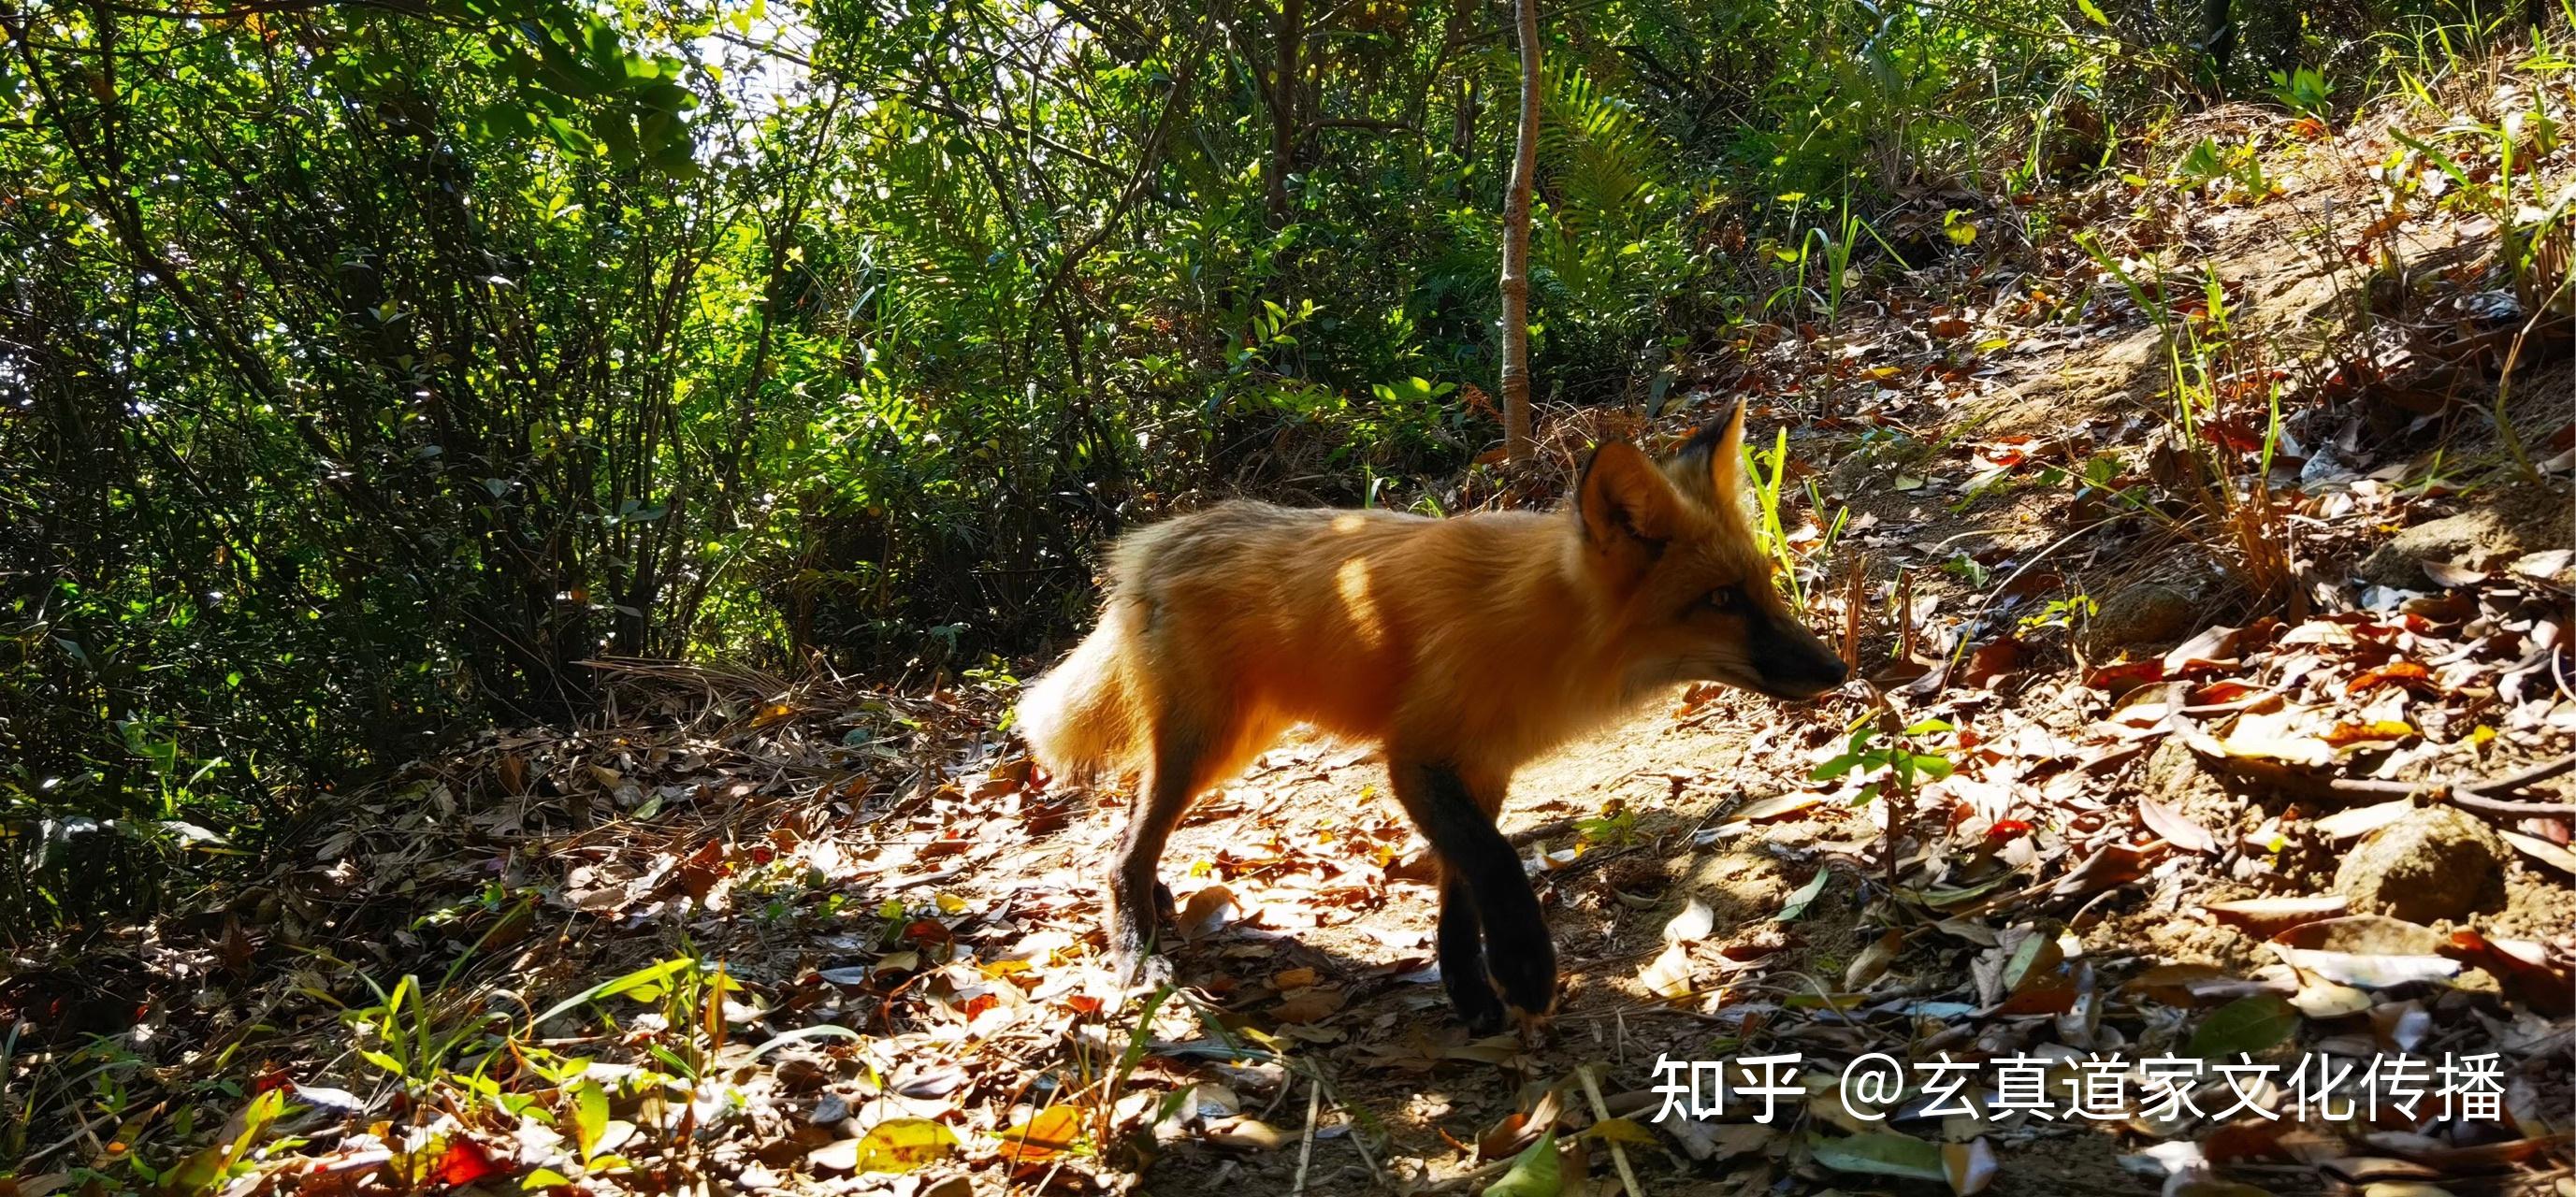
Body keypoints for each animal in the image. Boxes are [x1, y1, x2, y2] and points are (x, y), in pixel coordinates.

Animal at [1015, 398, 1844, 1024]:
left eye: (1763, 588)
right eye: (1723, 601)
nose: (1837, 670)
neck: (1545, 633)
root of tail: (1151, 541)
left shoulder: (1483, 767)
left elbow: (1460, 892)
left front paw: (1470, 991)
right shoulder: (1416, 759)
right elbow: (1497, 864)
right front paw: (1523, 966)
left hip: (1232, 744)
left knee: (1137, 825)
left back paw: (1155, 908)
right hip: (1209, 743)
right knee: (1122, 851)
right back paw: (1137, 951)